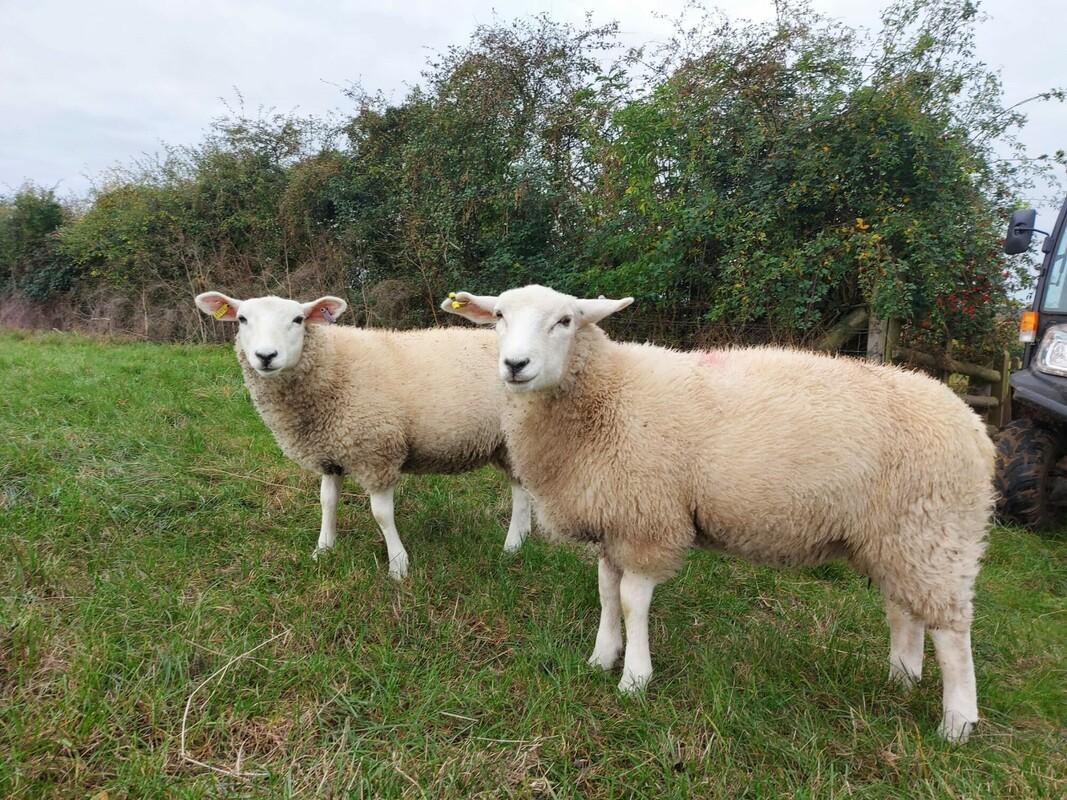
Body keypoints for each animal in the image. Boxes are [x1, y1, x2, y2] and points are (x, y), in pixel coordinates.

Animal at [194, 292, 531, 580]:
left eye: (298, 320)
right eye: (242, 319)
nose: (266, 356)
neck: (332, 367)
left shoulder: (376, 452)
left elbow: (381, 514)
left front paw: (398, 565)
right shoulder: (330, 453)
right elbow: (327, 501)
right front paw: (323, 549)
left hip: (515, 436)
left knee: (519, 492)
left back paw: (512, 545)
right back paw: (524, 536)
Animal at [441, 283, 990, 746]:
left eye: (565, 320)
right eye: (499, 316)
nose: (515, 364)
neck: (609, 395)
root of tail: (973, 423)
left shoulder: (648, 518)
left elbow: (632, 601)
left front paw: (634, 678)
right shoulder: (616, 520)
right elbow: (605, 592)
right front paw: (601, 658)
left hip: (933, 530)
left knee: (952, 631)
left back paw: (957, 724)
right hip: (894, 538)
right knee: (904, 609)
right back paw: (902, 677)